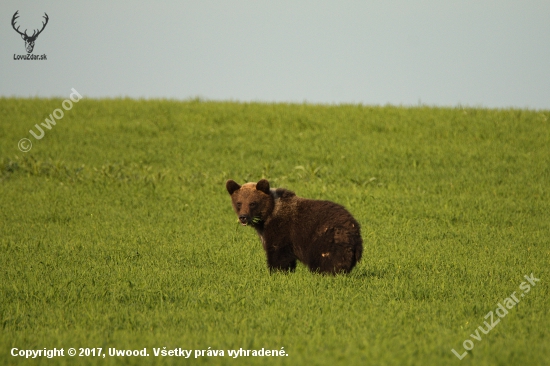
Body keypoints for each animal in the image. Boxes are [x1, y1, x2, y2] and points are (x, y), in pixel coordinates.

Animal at [226, 179, 364, 274]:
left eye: (253, 203)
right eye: (239, 203)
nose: (243, 217)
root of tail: (355, 229)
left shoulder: (282, 229)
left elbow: (278, 253)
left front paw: (277, 271)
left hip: (328, 238)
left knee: (328, 260)